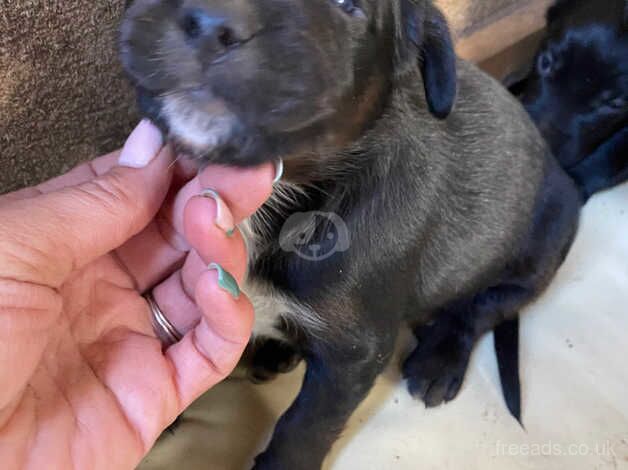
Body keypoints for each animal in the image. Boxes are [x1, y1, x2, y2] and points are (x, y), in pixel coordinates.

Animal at [120, 1, 580, 468]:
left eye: (348, 6)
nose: (214, 22)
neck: (293, 194)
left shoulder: (354, 356)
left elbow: (306, 426)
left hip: (540, 250)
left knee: (480, 307)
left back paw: (439, 360)